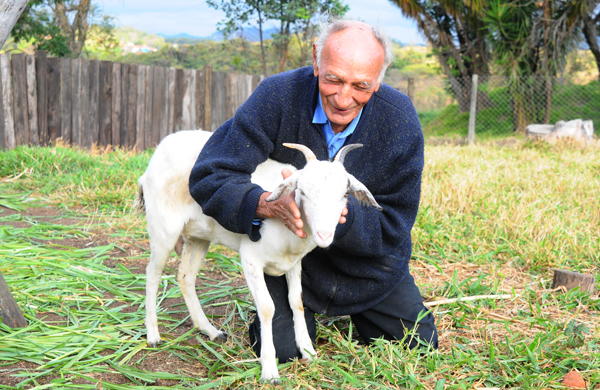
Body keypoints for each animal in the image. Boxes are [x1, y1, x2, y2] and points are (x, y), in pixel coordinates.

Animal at [134, 129, 382, 382]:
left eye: (344, 195)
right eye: (302, 191)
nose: (324, 235)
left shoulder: (294, 263)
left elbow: (297, 302)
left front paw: (308, 352)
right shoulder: (250, 259)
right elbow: (267, 308)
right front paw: (269, 370)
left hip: (199, 236)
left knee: (185, 277)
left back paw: (211, 331)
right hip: (163, 229)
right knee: (152, 275)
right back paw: (153, 335)